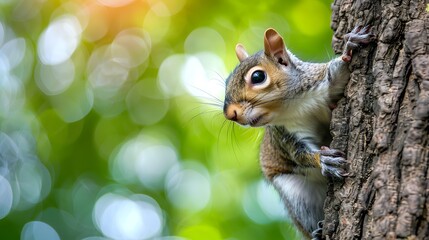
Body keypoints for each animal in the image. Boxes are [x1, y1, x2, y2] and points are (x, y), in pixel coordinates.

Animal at [222, 25, 372, 238]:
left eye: (258, 77)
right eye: (227, 81)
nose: (229, 114)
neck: (294, 105)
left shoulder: (323, 82)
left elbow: (338, 73)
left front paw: (350, 45)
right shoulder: (284, 134)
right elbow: (299, 154)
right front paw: (323, 160)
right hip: (297, 194)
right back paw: (317, 232)